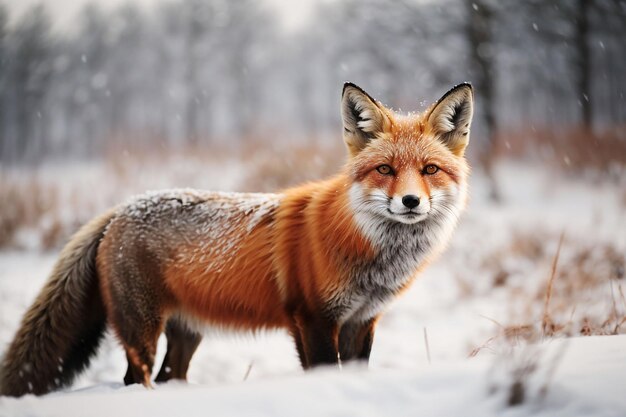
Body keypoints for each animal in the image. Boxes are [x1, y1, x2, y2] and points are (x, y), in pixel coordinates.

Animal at [0, 82, 468, 396]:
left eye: (429, 170)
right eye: (385, 169)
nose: (410, 201)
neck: (371, 255)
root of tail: (120, 209)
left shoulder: (362, 321)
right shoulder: (314, 318)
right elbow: (322, 372)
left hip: (185, 335)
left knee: (170, 377)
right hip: (142, 331)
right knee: (136, 379)